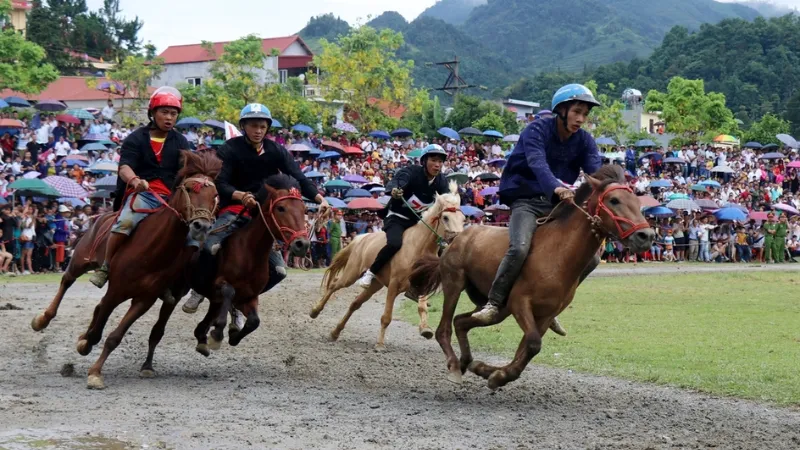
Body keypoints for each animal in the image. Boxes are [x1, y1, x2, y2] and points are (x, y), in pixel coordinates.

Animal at [30, 152, 222, 390]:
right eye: (189, 188)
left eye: (215, 195)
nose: (201, 226)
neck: (153, 251)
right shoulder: (116, 291)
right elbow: (98, 331)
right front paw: (88, 353)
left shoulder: (144, 299)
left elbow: (116, 336)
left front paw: (95, 368)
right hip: (80, 259)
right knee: (67, 281)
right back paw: (43, 319)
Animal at [310, 181, 466, 350]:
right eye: (445, 217)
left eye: (463, 219)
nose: (459, 241)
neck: (418, 247)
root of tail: (361, 238)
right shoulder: (393, 284)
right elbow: (387, 316)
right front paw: (379, 344)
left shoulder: (423, 284)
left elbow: (422, 308)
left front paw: (425, 329)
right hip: (351, 274)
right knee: (334, 285)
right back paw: (315, 311)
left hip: (375, 284)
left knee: (355, 304)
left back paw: (335, 332)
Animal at [410, 165, 652, 390]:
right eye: (614, 200)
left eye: (637, 202)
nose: (646, 236)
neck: (558, 254)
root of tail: (456, 238)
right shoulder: (520, 303)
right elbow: (534, 344)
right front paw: (495, 374)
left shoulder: (545, 314)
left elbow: (526, 349)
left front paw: (490, 371)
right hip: (454, 283)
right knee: (444, 329)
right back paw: (453, 365)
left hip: (497, 309)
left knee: (461, 322)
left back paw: (465, 361)